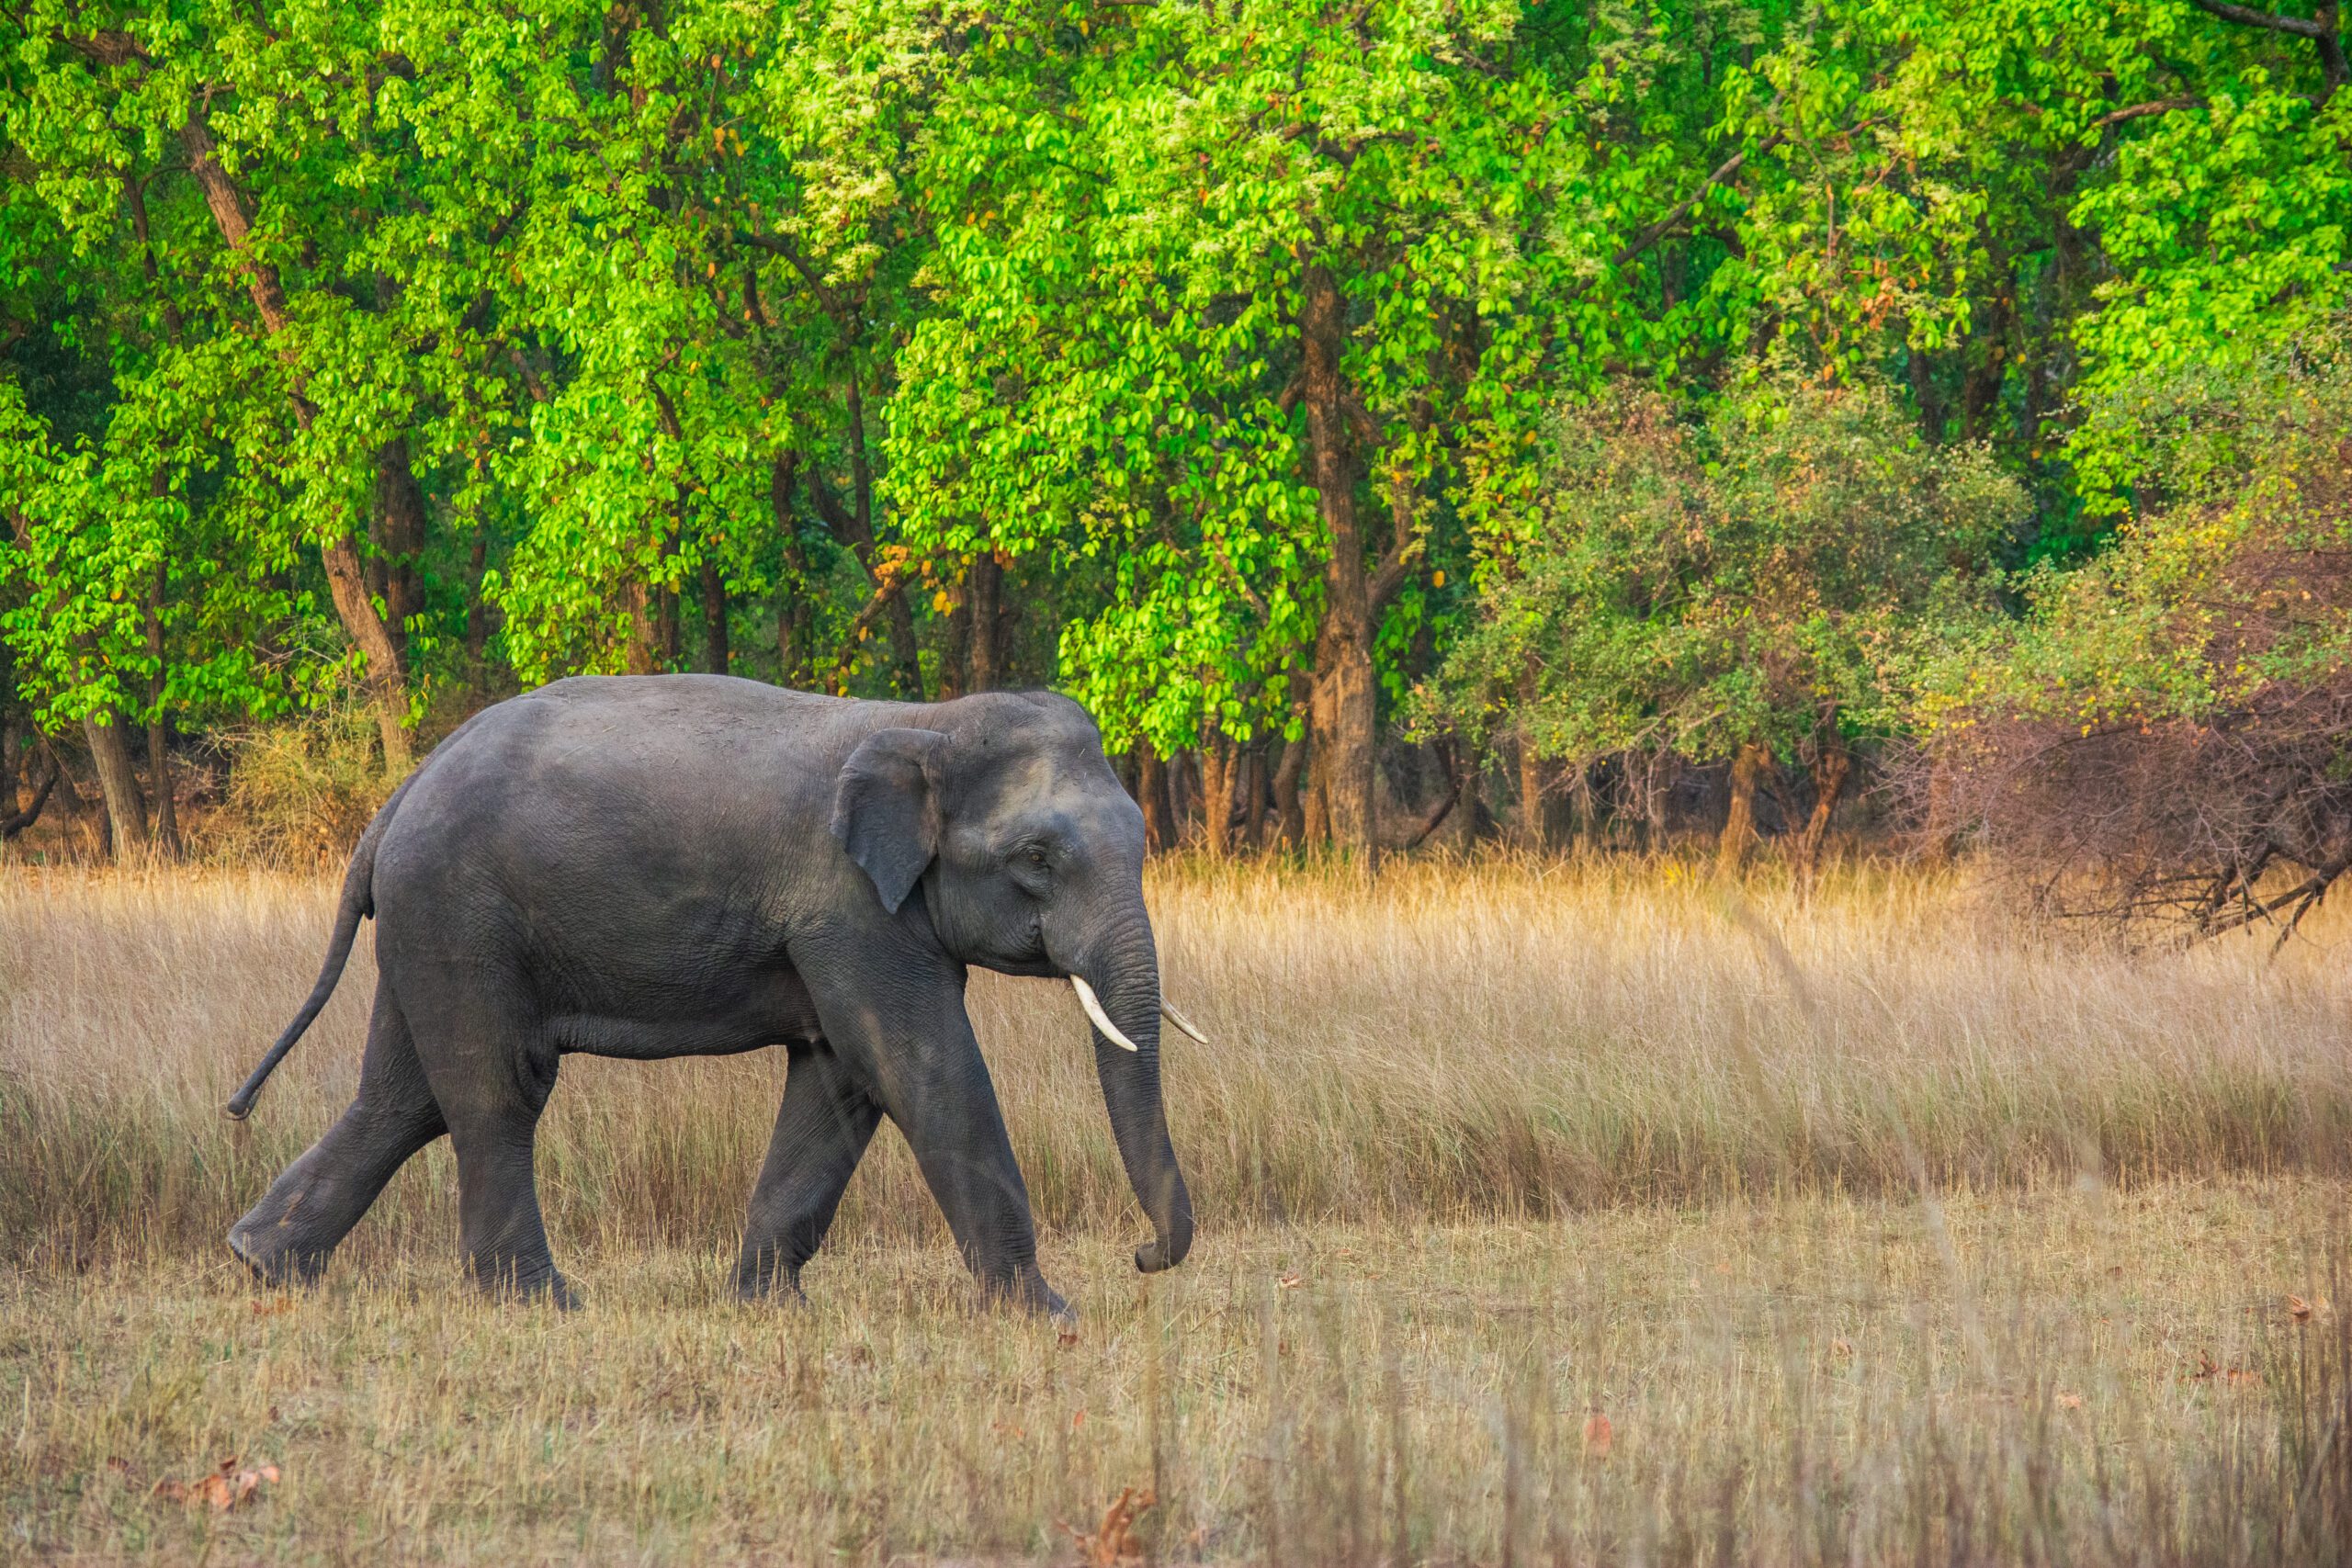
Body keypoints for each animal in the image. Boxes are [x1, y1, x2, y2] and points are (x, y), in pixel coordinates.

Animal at [221, 676, 1199, 1314]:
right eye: (1037, 857)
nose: (1143, 1255)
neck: (923, 723)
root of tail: (397, 797)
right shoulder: (849, 906)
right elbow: (921, 1067)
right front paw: (1048, 1313)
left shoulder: (851, 923)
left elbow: (841, 1078)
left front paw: (764, 1305)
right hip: (461, 915)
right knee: (496, 1091)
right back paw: (542, 1302)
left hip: (430, 924)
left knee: (402, 1097)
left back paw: (264, 1265)